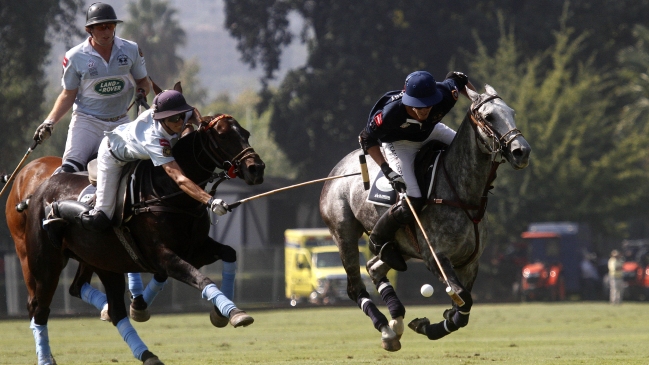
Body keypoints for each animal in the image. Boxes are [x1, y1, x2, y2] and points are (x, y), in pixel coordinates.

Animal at [5, 112, 264, 362]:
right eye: (222, 135)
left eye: (246, 133)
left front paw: (221, 313)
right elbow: (203, 279)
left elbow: (229, 253)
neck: (167, 193)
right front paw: (235, 313)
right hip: (44, 263)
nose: (256, 168)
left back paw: (147, 353)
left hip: (103, 261)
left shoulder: (195, 250)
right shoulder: (164, 257)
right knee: (39, 310)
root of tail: (37, 190)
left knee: (110, 307)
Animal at [320, 85, 532, 350]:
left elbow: (463, 312)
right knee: (355, 286)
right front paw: (427, 325)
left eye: (511, 112)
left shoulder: (470, 262)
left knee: (375, 268)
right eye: (489, 116)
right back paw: (386, 330)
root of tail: (335, 171)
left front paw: (430, 324)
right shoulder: (436, 258)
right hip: (344, 234)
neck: (462, 193)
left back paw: (396, 320)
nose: (521, 151)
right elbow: (464, 299)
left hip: (401, 249)